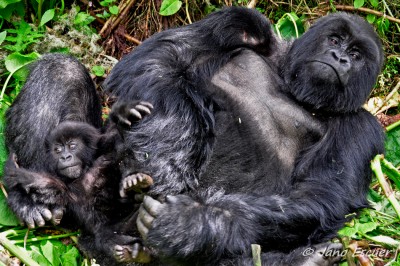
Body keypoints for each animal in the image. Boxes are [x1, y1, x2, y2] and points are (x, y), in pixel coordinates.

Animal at [103, 6, 384, 266]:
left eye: (356, 55)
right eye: (334, 40)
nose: (339, 58)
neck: (294, 88)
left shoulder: (361, 127)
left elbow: (319, 194)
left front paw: (192, 224)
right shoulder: (243, 23)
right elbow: (161, 60)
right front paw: (167, 165)